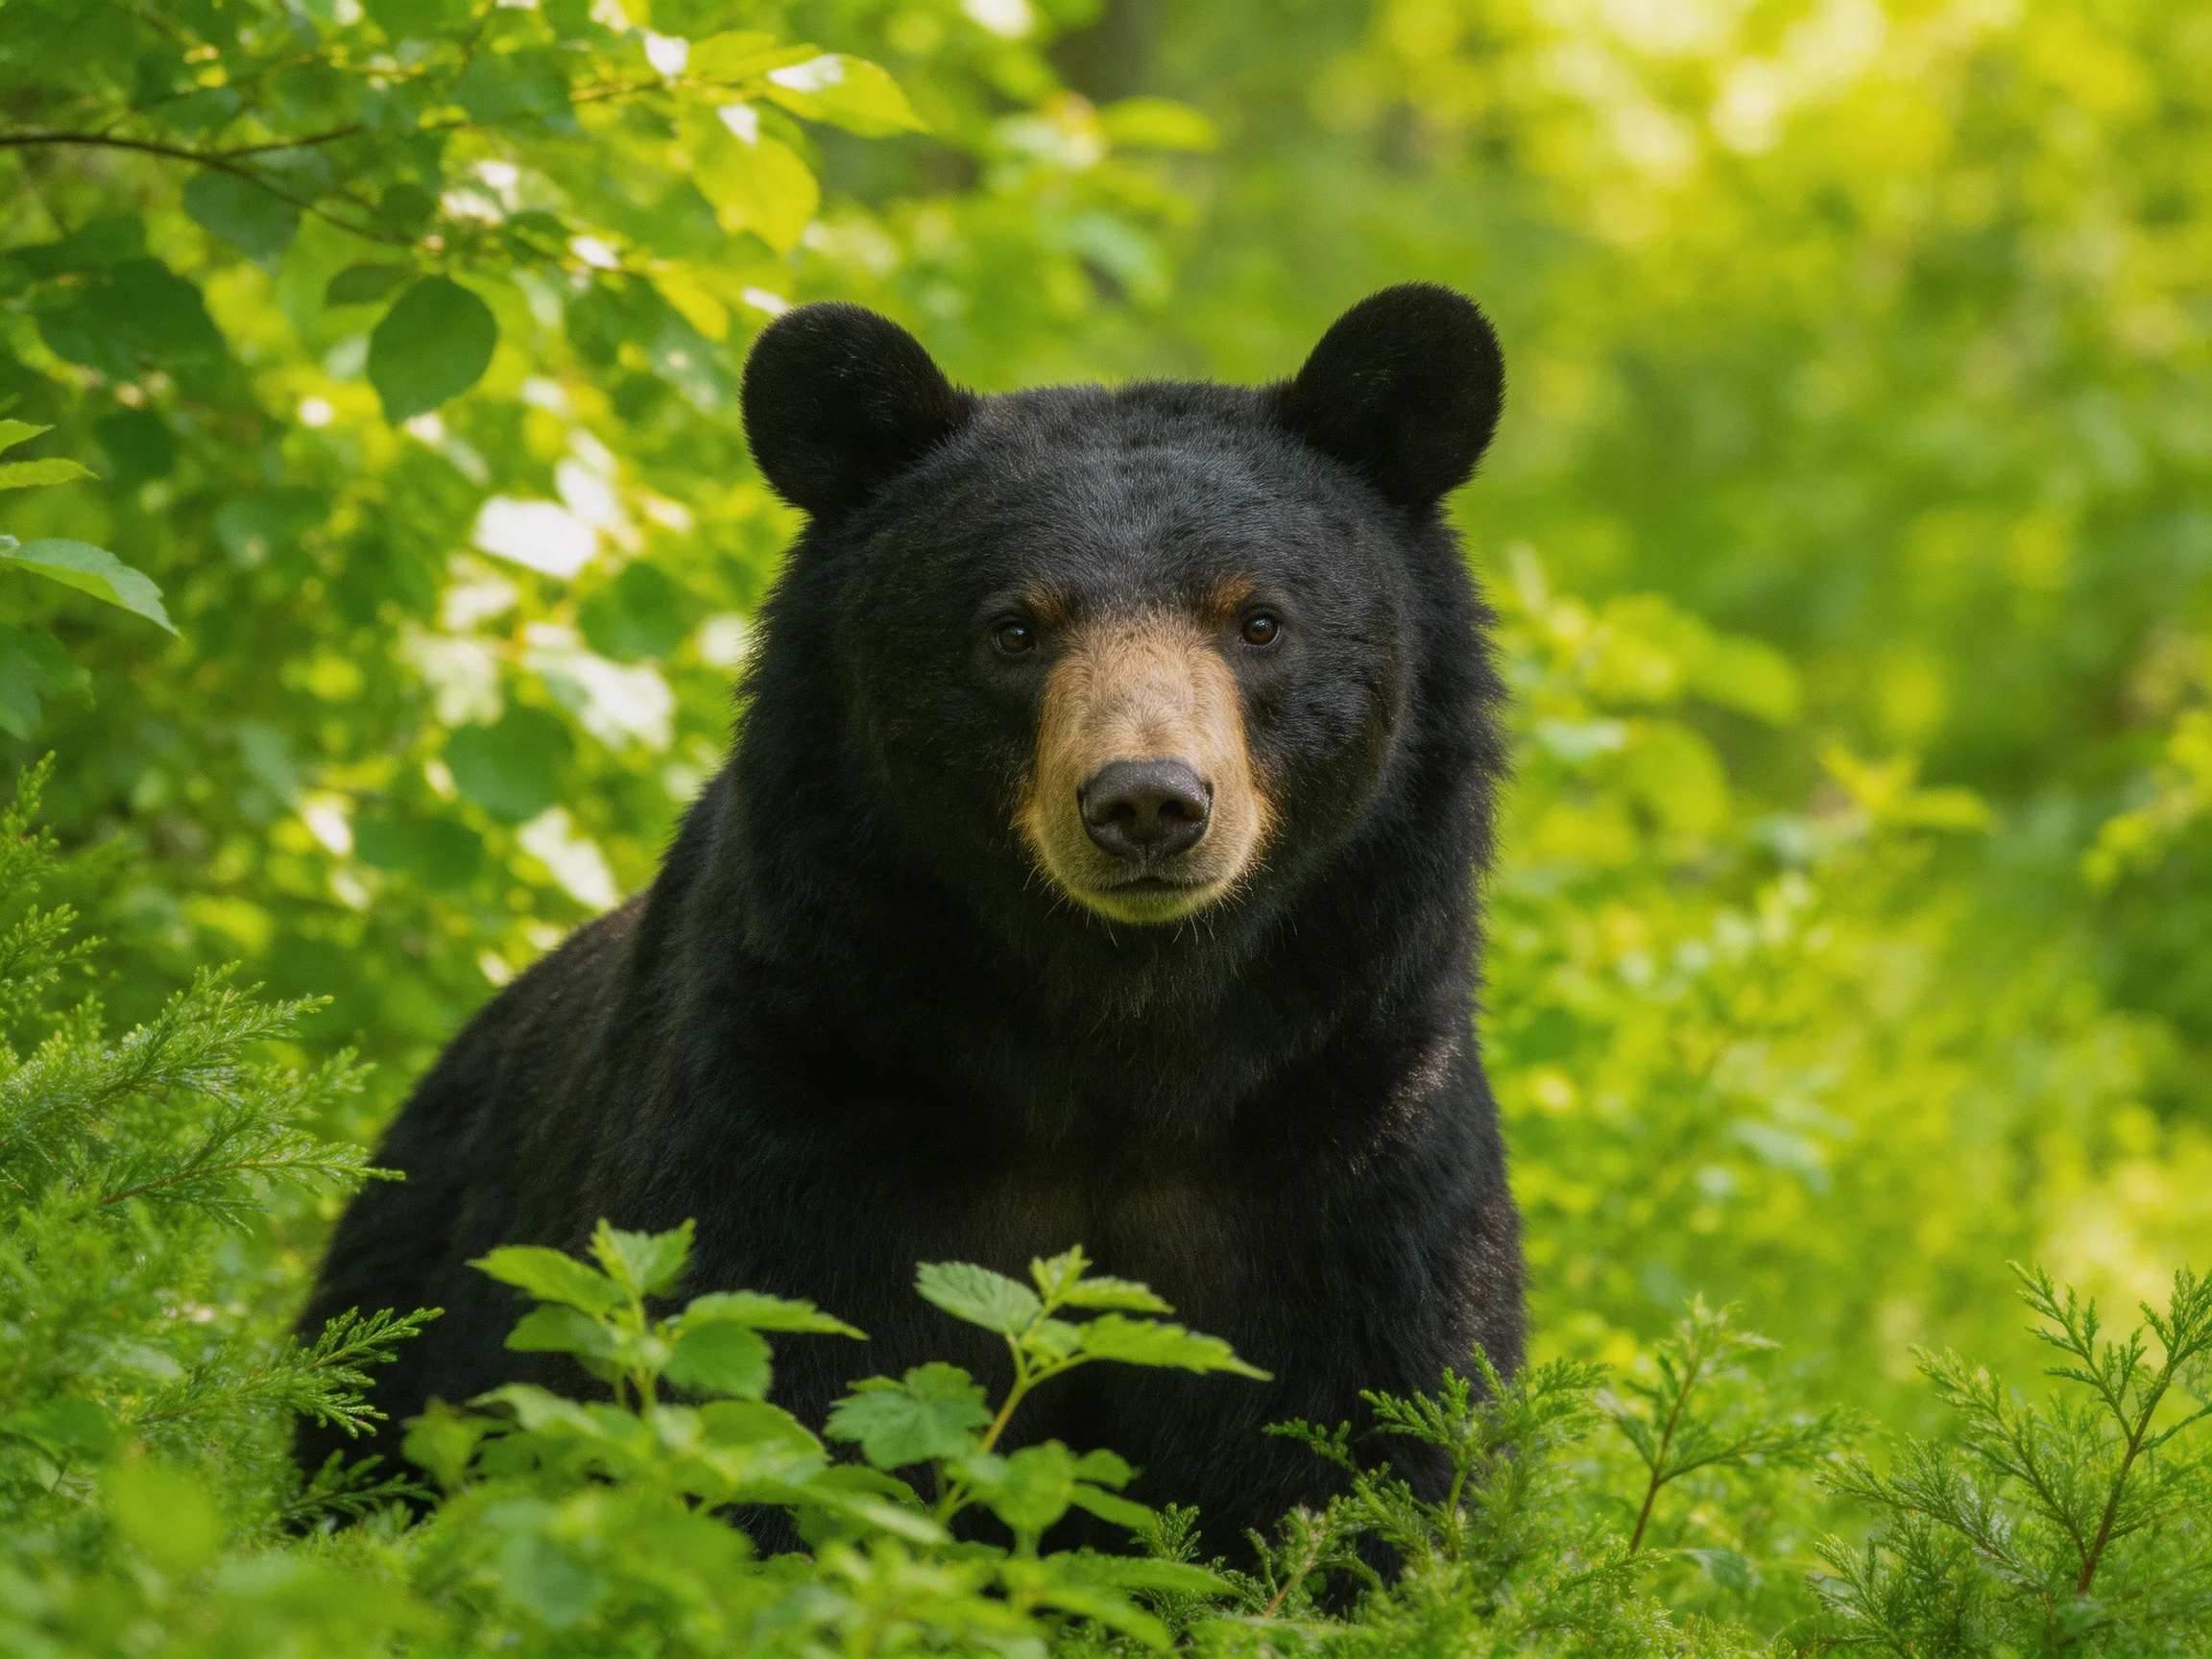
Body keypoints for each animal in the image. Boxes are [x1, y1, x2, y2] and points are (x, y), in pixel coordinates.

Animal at [295, 283, 1523, 1555]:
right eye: (1016, 627)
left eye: (1259, 621)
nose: (1147, 803)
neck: (1122, 1029)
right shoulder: (800, 1103)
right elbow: (762, 1394)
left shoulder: (1348, 1146)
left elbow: (1361, 1445)